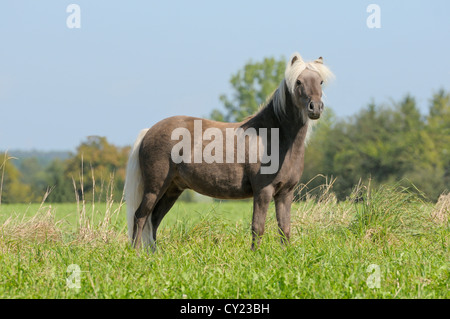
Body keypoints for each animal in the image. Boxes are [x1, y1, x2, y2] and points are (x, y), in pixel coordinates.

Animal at [125, 52, 332, 251]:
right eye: (298, 81)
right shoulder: (263, 191)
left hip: (172, 189)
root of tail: (149, 131)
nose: (315, 107)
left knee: (154, 219)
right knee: (140, 216)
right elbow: (258, 227)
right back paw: (136, 254)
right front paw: (255, 255)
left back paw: (155, 254)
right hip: (155, 187)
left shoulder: (285, 193)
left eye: (320, 81)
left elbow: (284, 228)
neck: (275, 137)